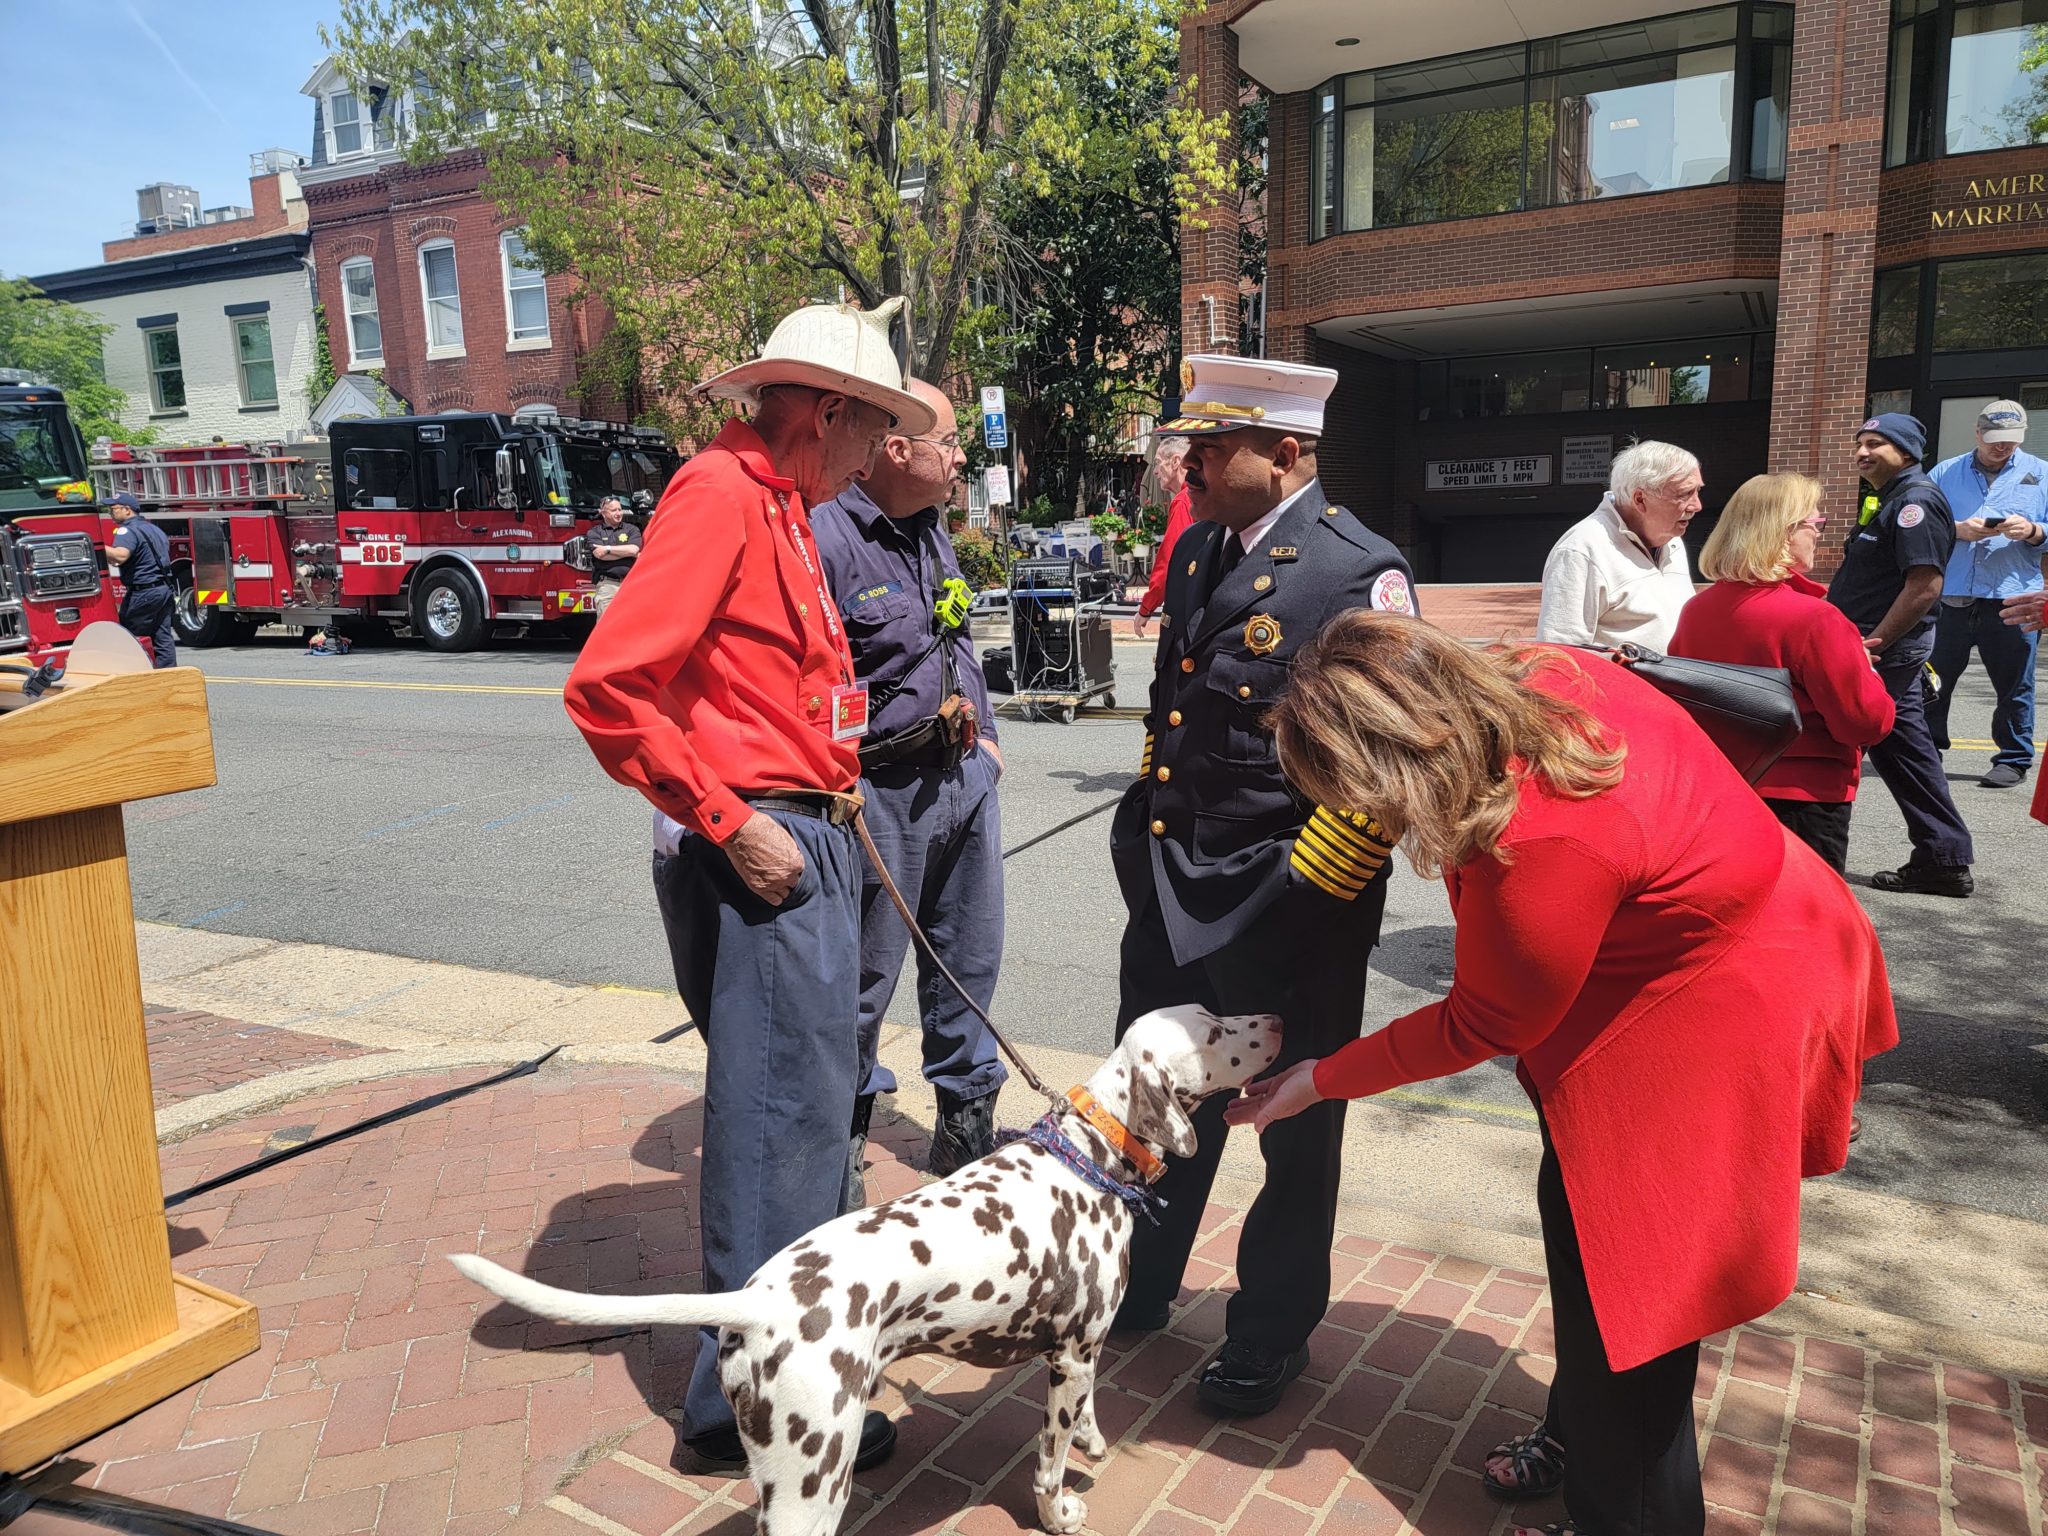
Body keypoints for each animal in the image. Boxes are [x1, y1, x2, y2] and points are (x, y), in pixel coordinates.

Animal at [450, 1003, 1277, 1536]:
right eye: (1212, 1029)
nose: (1277, 1021)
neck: (1089, 1151)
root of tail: (756, 1302)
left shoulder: (1078, 1356)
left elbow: (1088, 1419)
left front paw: (1094, 1444)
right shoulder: (1070, 1357)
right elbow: (1047, 1464)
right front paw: (1060, 1513)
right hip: (812, 1481)